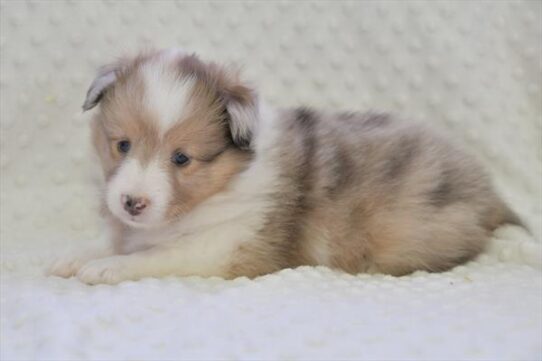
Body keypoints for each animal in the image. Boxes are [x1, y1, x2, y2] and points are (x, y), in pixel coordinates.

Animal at [49, 48, 524, 284]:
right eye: (122, 145)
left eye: (182, 158)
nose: (132, 203)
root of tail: (490, 193)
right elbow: (113, 241)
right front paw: (74, 257)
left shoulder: (221, 248)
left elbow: (152, 256)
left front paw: (106, 268)